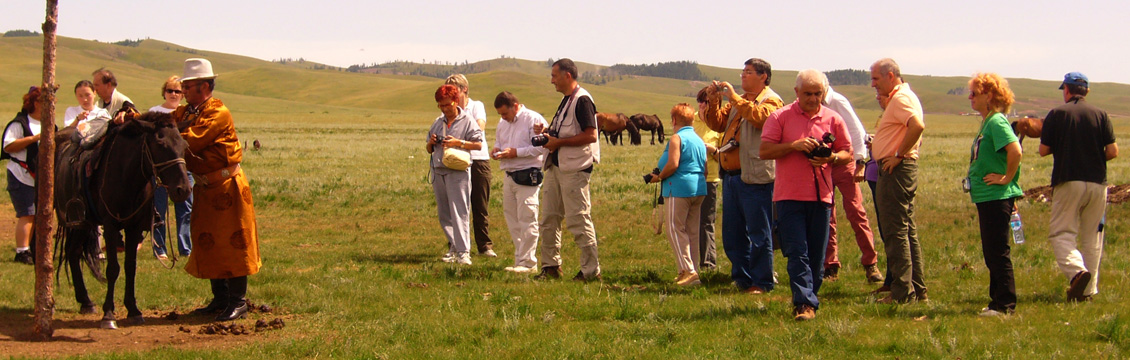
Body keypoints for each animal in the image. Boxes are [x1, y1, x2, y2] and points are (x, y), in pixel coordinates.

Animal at [53, 112, 190, 329]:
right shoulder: (110, 227)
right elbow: (113, 269)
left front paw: (133, 310)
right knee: (72, 252)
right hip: (76, 221)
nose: (182, 189)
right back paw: (86, 301)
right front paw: (108, 314)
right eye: (160, 144)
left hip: (84, 224)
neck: (127, 177)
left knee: (73, 252)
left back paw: (86, 301)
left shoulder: (134, 228)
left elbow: (130, 267)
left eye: (184, 145)